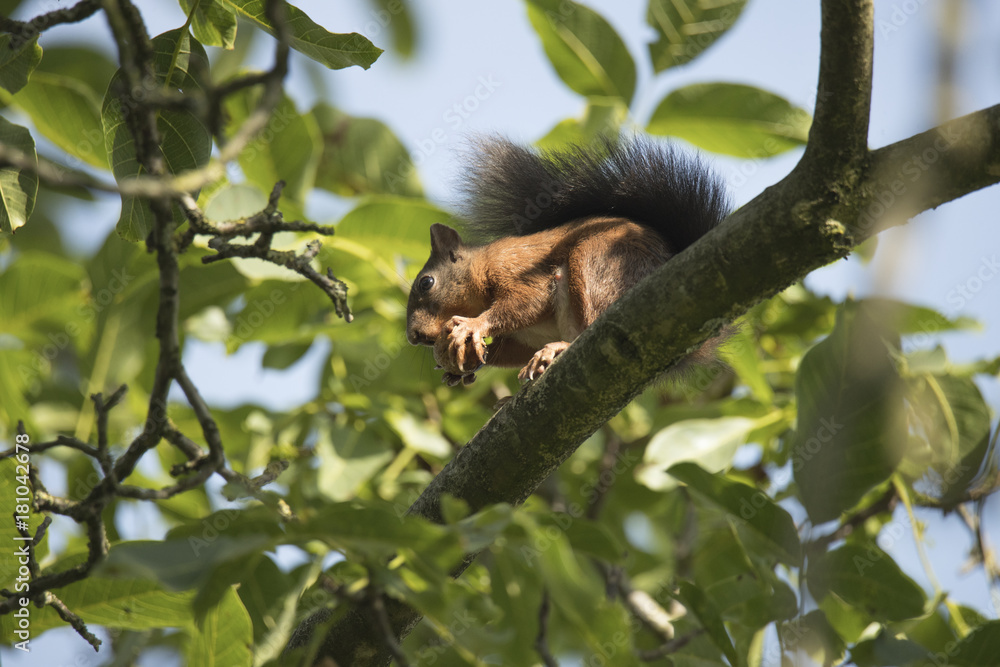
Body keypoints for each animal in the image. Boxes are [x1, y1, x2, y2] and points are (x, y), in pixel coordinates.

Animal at [405, 135, 731, 386]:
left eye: (426, 282)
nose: (414, 337)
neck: (481, 267)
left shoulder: (513, 268)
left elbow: (529, 300)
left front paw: (474, 325)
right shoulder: (524, 337)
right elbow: (510, 349)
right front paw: (463, 366)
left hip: (596, 262)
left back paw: (559, 348)